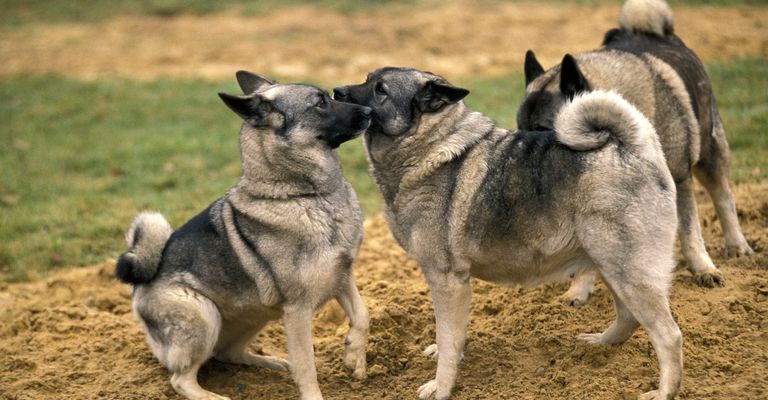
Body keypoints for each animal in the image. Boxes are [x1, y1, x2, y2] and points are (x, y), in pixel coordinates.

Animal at [115, 72, 376, 400]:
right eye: (320, 103)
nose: (370, 112)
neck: (305, 195)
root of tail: (141, 285)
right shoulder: (297, 310)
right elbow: (307, 365)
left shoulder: (343, 276)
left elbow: (363, 315)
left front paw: (354, 356)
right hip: (205, 314)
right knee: (180, 379)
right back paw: (215, 396)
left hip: (257, 315)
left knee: (229, 353)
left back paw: (276, 364)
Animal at [332, 69, 680, 400]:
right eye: (366, 79)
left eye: (380, 90)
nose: (336, 92)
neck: (429, 143)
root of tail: (633, 147)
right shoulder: (456, 285)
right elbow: (452, 337)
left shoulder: (447, 282)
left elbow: (448, 338)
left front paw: (441, 387)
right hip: (612, 267)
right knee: (628, 318)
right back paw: (600, 344)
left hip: (629, 272)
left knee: (668, 335)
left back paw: (665, 391)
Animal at [520, 0, 752, 306]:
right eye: (519, 127)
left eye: (541, 129)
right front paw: (579, 290)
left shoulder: (680, 179)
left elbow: (690, 231)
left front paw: (703, 269)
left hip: (709, 152)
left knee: (723, 197)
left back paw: (736, 246)